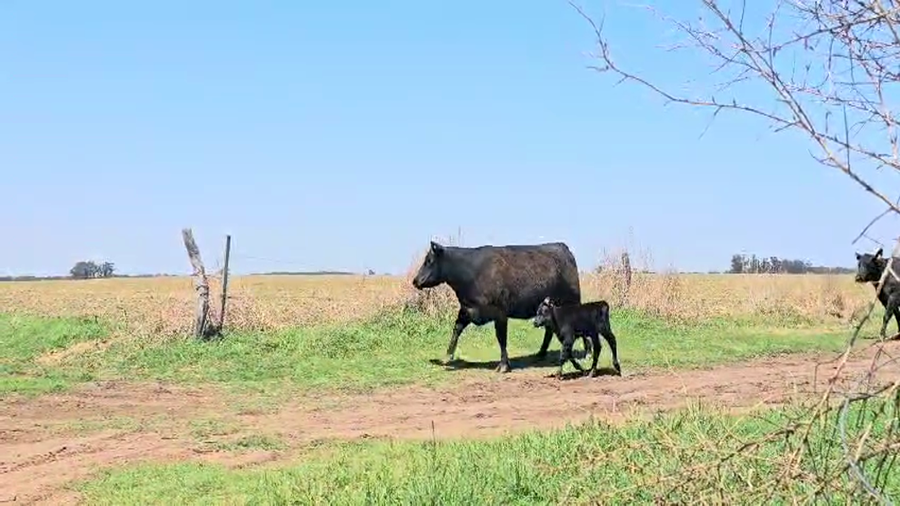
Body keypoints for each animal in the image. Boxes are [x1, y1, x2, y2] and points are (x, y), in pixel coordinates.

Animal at [410, 240, 589, 373]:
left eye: (429, 261)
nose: (415, 280)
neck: (470, 272)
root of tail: (563, 247)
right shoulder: (467, 309)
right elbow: (457, 329)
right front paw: (447, 356)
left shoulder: (500, 313)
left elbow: (501, 338)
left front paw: (503, 365)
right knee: (549, 330)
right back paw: (540, 353)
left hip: (571, 301)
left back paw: (586, 352)